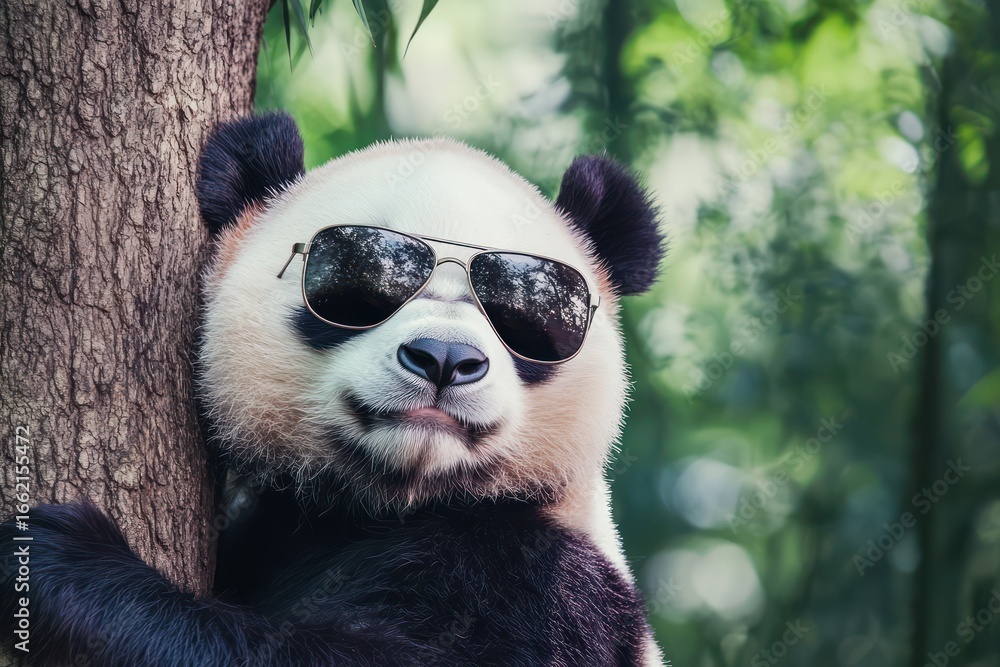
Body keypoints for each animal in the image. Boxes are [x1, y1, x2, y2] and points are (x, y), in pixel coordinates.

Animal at [0, 112, 666, 666]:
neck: (394, 503)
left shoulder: (549, 587)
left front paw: (61, 562)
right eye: (356, 290)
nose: (445, 358)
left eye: (526, 321)